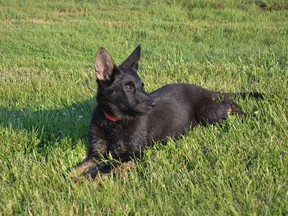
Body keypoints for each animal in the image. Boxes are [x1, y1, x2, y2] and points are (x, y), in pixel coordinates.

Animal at [70, 45, 264, 181]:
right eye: (128, 87)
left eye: (142, 86)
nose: (153, 104)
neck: (113, 122)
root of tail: (204, 90)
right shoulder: (96, 153)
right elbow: (78, 167)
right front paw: (69, 176)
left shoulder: (133, 154)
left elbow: (105, 167)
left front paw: (85, 179)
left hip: (209, 115)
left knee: (229, 104)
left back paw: (246, 115)